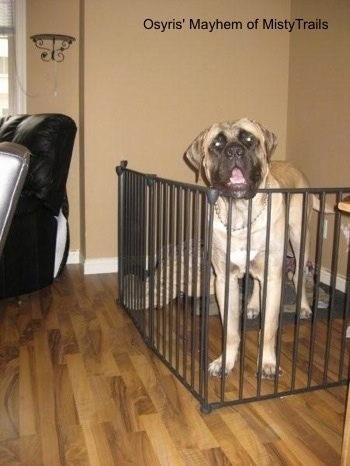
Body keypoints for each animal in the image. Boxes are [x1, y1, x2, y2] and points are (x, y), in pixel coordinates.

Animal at [186, 117, 314, 378]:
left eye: (248, 139)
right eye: (217, 144)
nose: (234, 151)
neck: (241, 215)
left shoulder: (273, 276)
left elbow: (269, 328)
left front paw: (267, 364)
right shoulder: (225, 279)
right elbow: (231, 330)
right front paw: (225, 362)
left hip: (299, 236)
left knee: (298, 273)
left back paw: (304, 307)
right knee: (256, 281)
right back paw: (254, 305)